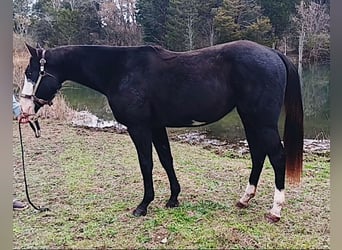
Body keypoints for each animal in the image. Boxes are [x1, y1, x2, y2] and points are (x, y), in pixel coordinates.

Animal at [20, 41, 304, 223]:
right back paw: (245, 199)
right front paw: (173, 198)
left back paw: (275, 211)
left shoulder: (139, 128)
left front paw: (144, 205)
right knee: (258, 155)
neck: (120, 70)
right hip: (251, 120)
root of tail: (273, 53)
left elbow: (146, 164)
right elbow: (166, 160)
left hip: (262, 122)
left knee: (277, 157)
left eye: (31, 72)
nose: (23, 109)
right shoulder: (156, 126)